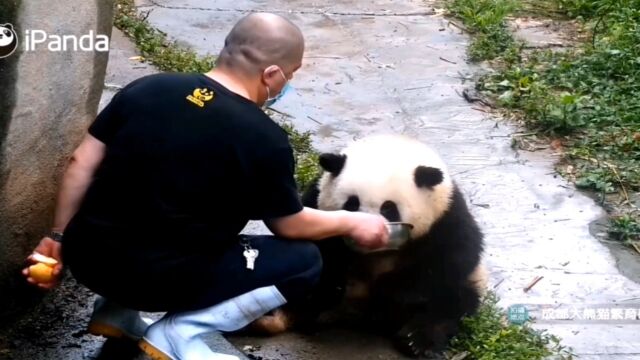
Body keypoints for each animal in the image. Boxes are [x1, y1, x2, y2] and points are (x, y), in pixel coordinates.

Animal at [252, 134, 488, 358]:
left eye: (389, 208)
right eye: (352, 203)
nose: (367, 235)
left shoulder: (445, 216)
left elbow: (449, 261)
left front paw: (395, 291)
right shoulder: (316, 198)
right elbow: (320, 249)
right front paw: (329, 289)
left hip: (467, 285)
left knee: (449, 305)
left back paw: (417, 340)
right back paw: (282, 316)